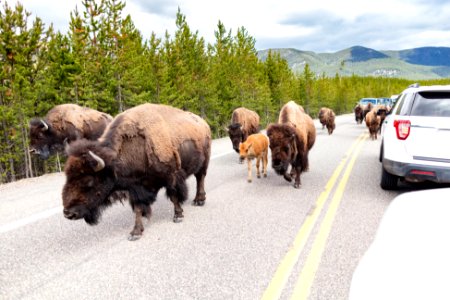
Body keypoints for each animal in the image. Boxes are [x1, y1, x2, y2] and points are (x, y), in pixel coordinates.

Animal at [60, 104, 213, 240]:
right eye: (67, 177)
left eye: (89, 182)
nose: (68, 213)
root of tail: (203, 123)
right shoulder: (136, 187)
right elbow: (138, 209)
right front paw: (135, 232)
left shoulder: (171, 177)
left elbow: (174, 196)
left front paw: (178, 216)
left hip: (204, 163)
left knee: (200, 179)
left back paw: (199, 200)